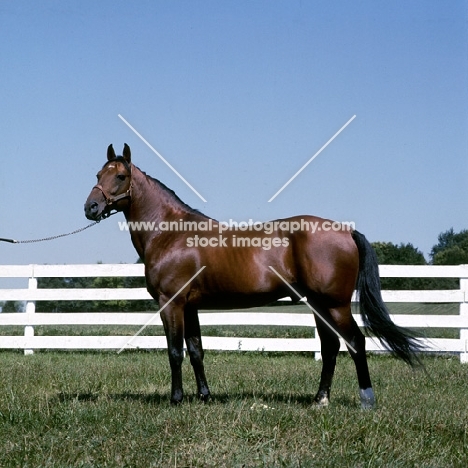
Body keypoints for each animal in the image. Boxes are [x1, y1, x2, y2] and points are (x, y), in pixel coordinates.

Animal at [85, 144, 424, 408]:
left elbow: (175, 352)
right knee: (330, 347)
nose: (91, 207)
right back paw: (319, 400)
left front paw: (176, 399)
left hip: (335, 305)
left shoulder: (172, 303)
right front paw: (205, 397)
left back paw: (366, 400)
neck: (170, 233)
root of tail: (345, 230)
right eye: (98, 175)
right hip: (318, 305)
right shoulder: (190, 306)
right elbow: (196, 351)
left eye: (120, 176)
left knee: (355, 342)